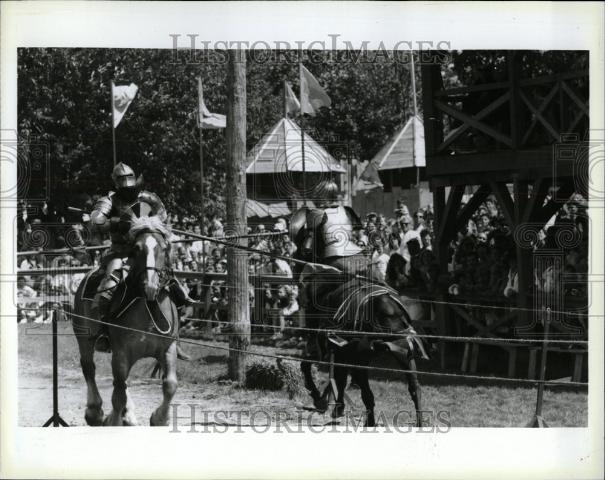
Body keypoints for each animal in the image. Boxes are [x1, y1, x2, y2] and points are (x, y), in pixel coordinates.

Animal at [71, 216, 178, 426]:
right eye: (136, 248)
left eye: (163, 248)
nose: (150, 286)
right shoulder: (121, 353)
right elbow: (118, 394)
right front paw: (113, 420)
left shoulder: (168, 348)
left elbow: (170, 385)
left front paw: (159, 419)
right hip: (84, 338)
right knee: (89, 369)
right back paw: (94, 412)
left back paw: (127, 415)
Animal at [290, 208, 428, 426]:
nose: (296, 258)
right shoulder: (342, 350)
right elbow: (338, 376)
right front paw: (334, 406)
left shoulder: (330, 346)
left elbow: (309, 366)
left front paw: (321, 400)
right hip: (404, 354)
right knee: (414, 389)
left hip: (361, 357)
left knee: (367, 393)